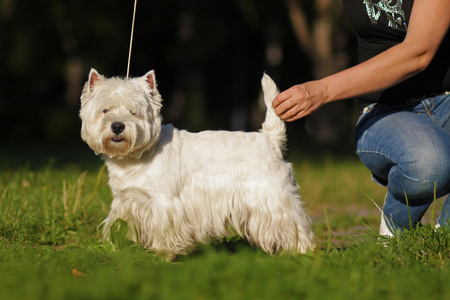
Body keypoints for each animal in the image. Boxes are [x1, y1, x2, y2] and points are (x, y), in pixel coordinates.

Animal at [80, 69, 312, 258]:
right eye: (105, 110)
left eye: (133, 111)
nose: (117, 126)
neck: (135, 158)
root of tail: (270, 139)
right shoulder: (126, 201)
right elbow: (124, 225)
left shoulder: (164, 202)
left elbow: (165, 229)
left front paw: (163, 254)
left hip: (273, 197)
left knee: (294, 225)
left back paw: (302, 253)